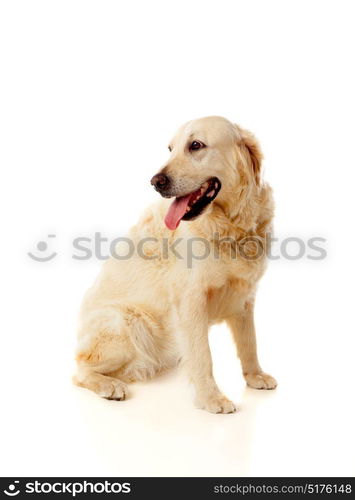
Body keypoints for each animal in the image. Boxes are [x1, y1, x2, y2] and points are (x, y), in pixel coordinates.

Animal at [73, 115, 276, 412]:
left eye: (196, 145)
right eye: (170, 149)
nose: (155, 181)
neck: (228, 226)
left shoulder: (245, 296)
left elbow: (250, 342)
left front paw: (255, 376)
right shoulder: (190, 301)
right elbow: (203, 356)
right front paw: (211, 398)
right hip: (128, 321)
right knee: (79, 369)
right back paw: (109, 385)